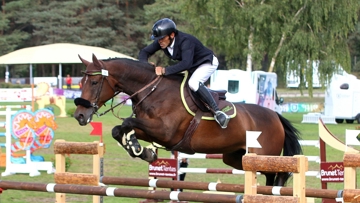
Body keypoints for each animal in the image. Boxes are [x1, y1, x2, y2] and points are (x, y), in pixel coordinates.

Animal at [74, 54, 302, 187]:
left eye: (94, 82)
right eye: (81, 81)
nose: (79, 115)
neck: (154, 91)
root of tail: (276, 116)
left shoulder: (165, 131)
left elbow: (128, 123)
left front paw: (140, 149)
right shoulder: (154, 131)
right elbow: (119, 129)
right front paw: (142, 151)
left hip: (264, 155)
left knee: (278, 175)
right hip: (236, 157)